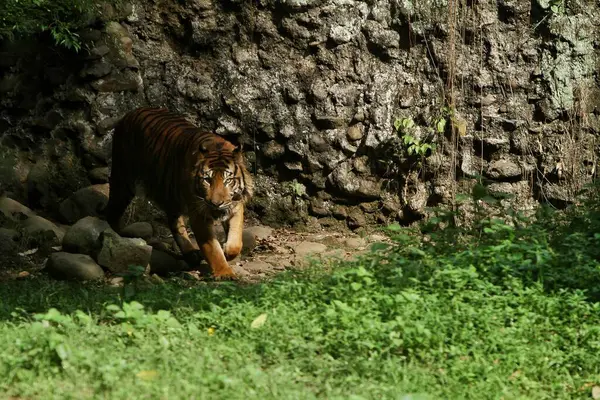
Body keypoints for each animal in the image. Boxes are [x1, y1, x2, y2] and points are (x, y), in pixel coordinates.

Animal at [104, 108, 252, 280]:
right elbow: (212, 248)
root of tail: (129, 114)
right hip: (124, 181)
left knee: (175, 222)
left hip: (171, 196)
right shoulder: (198, 214)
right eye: (207, 180)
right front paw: (224, 272)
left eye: (228, 180)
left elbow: (236, 241)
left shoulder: (235, 205)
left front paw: (228, 251)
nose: (216, 203)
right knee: (112, 211)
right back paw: (115, 236)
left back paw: (190, 253)